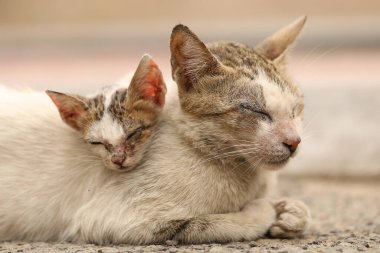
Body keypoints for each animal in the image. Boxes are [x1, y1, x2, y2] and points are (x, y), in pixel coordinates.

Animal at [0, 16, 308, 244]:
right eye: (255, 110)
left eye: (296, 109)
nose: (294, 142)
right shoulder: (113, 219)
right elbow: (219, 222)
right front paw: (267, 210)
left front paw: (291, 214)